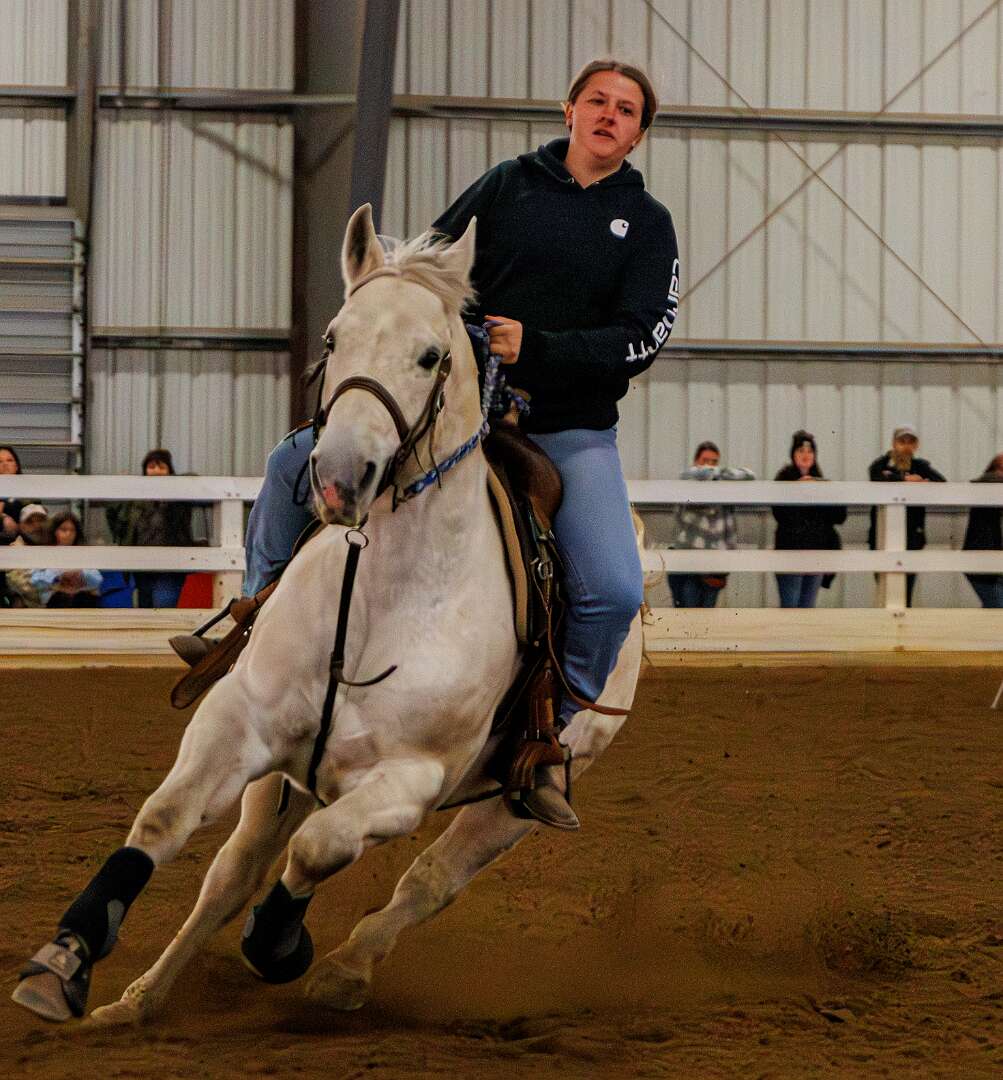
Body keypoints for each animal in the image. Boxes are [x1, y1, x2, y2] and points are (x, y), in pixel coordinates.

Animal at [13, 204, 643, 1025]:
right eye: (333, 338)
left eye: (431, 355)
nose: (341, 476)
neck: (378, 593)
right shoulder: (238, 722)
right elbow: (163, 822)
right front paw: (65, 961)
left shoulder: (410, 780)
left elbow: (319, 850)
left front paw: (280, 943)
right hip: (280, 782)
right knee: (234, 872)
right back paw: (141, 1000)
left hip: (516, 800)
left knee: (427, 881)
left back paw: (344, 971)